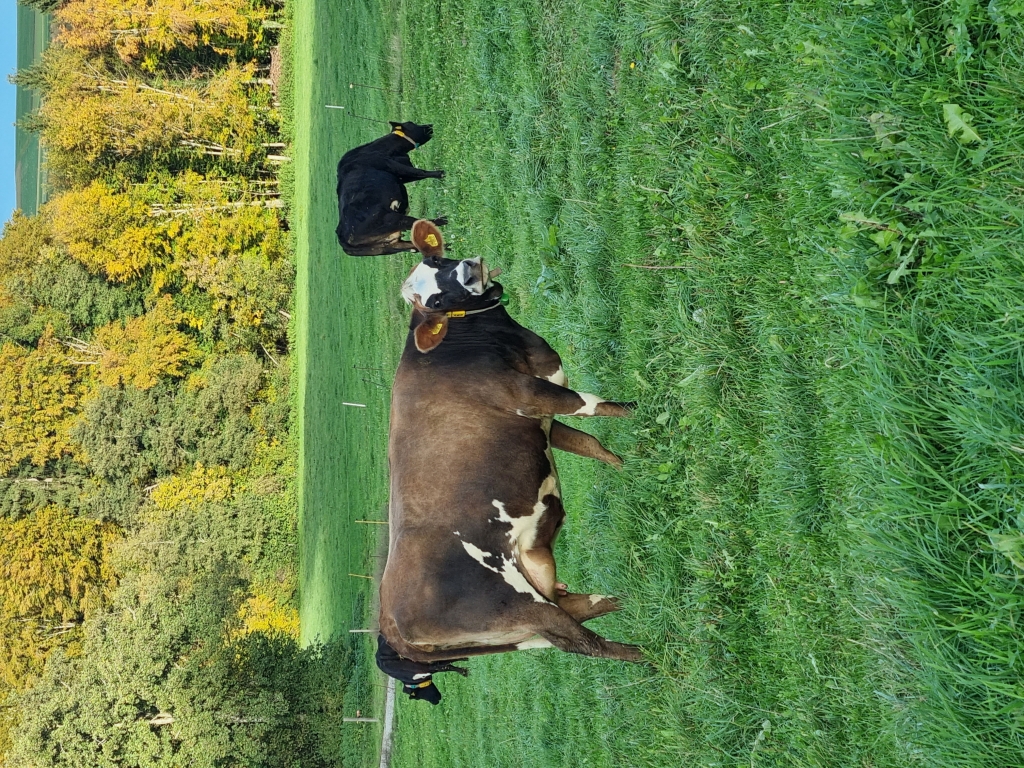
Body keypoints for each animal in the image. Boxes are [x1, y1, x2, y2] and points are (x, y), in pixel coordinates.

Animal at [335, 121, 448, 257]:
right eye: (411, 124)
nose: (429, 125)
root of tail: (343, 240)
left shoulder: (402, 176)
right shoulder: (396, 166)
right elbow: (420, 172)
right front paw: (440, 173)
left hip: (387, 247)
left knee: (415, 247)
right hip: (392, 219)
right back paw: (443, 220)